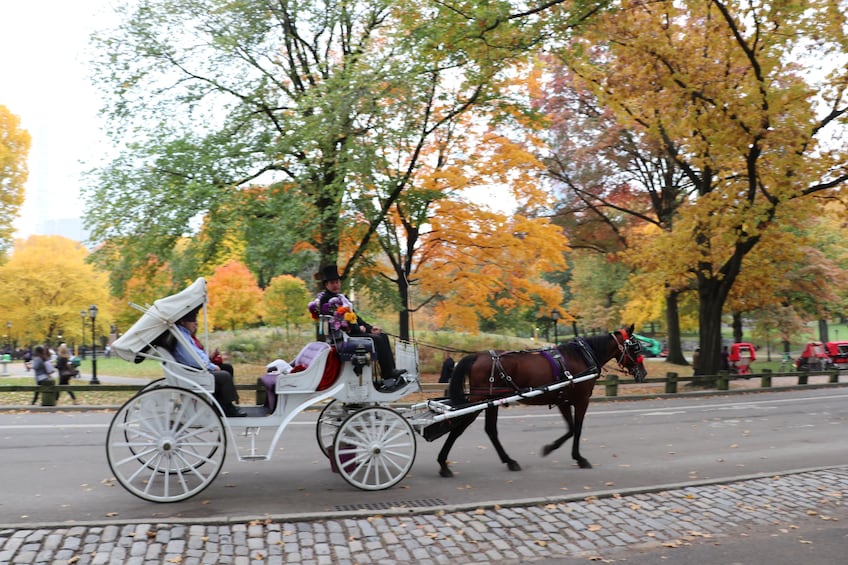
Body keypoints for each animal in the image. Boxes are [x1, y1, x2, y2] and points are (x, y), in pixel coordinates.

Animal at [440, 326, 644, 476]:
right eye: (636, 347)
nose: (643, 373)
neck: (582, 356)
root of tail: (478, 355)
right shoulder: (581, 400)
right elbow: (577, 429)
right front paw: (579, 458)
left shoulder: (563, 401)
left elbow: (571, 429)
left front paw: (549, 448)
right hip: (479, 400)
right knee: (459, 427)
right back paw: (443, 464)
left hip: (491, 401)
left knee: (490, 430)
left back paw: (509, 461)